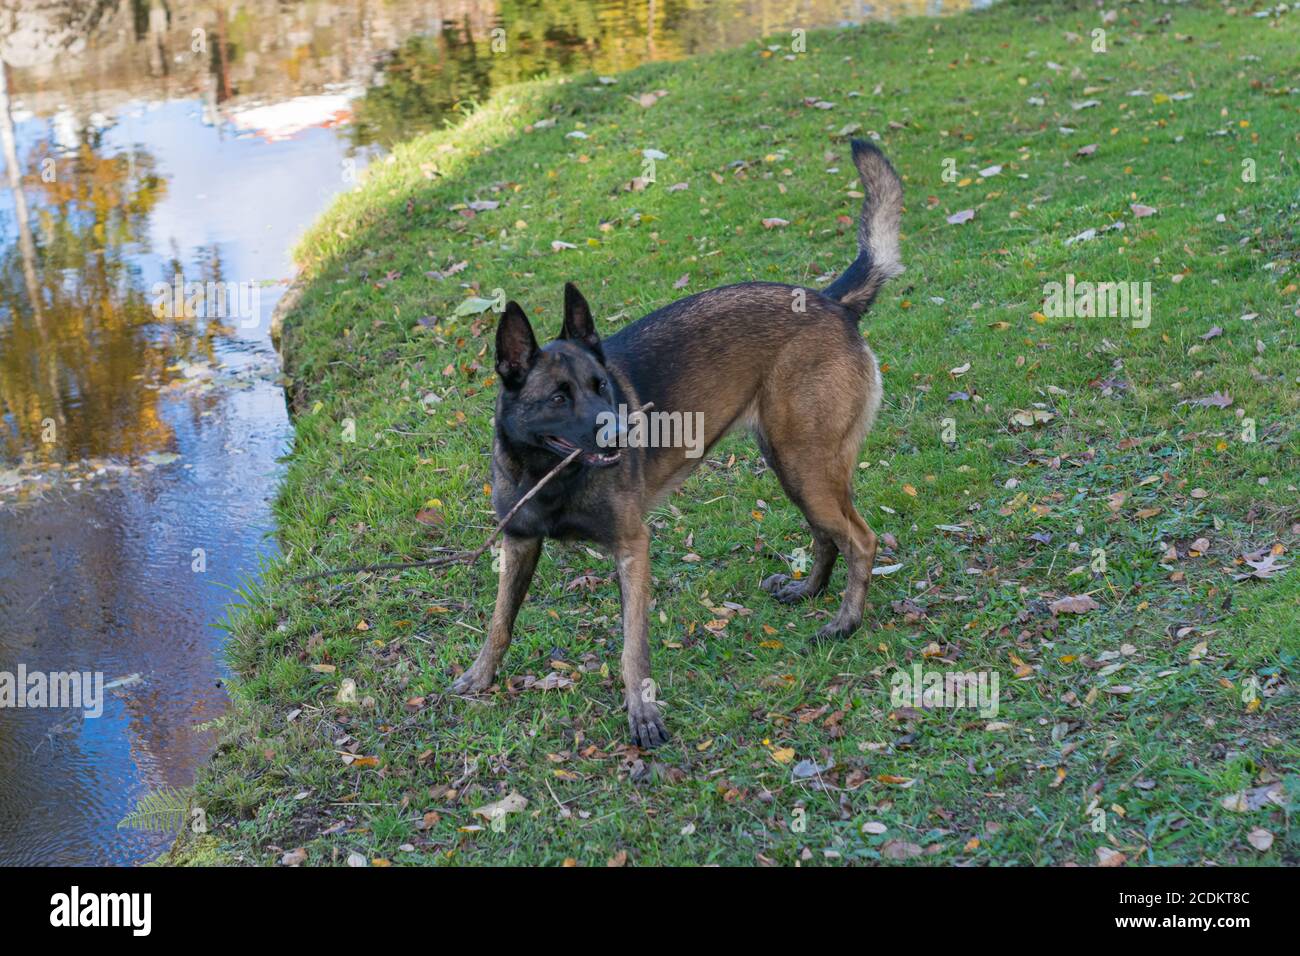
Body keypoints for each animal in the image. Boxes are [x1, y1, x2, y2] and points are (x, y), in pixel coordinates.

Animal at [452, 140, 909, 749]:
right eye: (559, 397)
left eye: (602, 386)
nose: (621, 431)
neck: (547, 474)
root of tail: (830, 300)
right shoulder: (520, 545)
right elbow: (500, 622)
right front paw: (480, 675)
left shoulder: (632, 549)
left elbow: (632, 648)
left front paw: (642, 713)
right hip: (791, 464)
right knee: (827, 534)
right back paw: (808, 592)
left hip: (805, 464)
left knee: (860, 538)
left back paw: (845, 622)